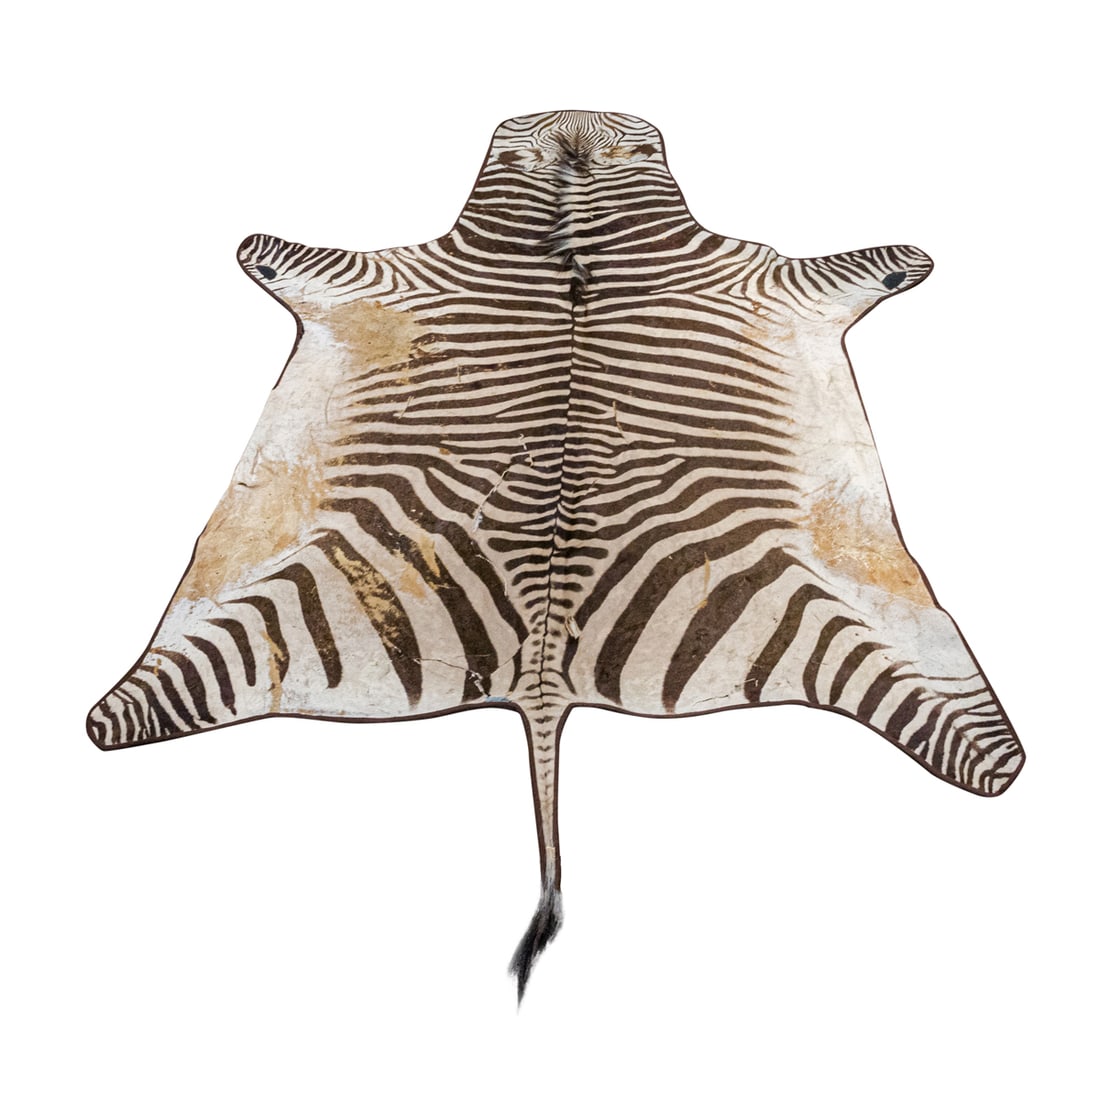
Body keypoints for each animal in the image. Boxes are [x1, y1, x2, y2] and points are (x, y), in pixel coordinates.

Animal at [88, 110, 1023, 999]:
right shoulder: (373, 276)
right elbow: (274, 251)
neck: (573, 226)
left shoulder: (770, 277)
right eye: (530, 140)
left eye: (622, 141)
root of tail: (544, 684)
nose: (572, 115)